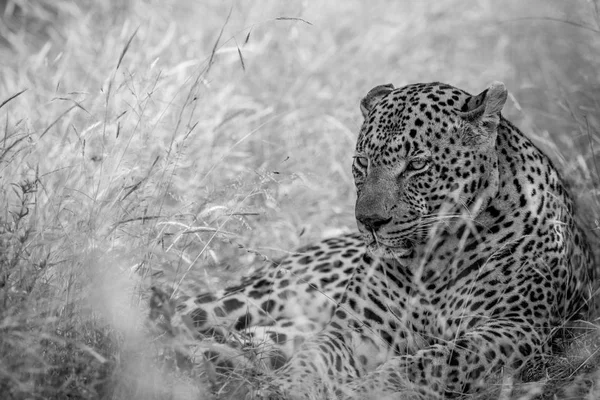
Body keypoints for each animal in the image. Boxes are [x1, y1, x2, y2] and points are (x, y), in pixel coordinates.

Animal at [150, 79, 596, 398]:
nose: (369, 221)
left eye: (417, 165)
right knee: (170, 311)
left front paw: (365, 389)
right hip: (256, 299)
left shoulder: (514, 329)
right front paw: (283, 389)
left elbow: (433, 363)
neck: (434, 260)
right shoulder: (354, 330)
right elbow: (312, 362)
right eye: (361, 162)